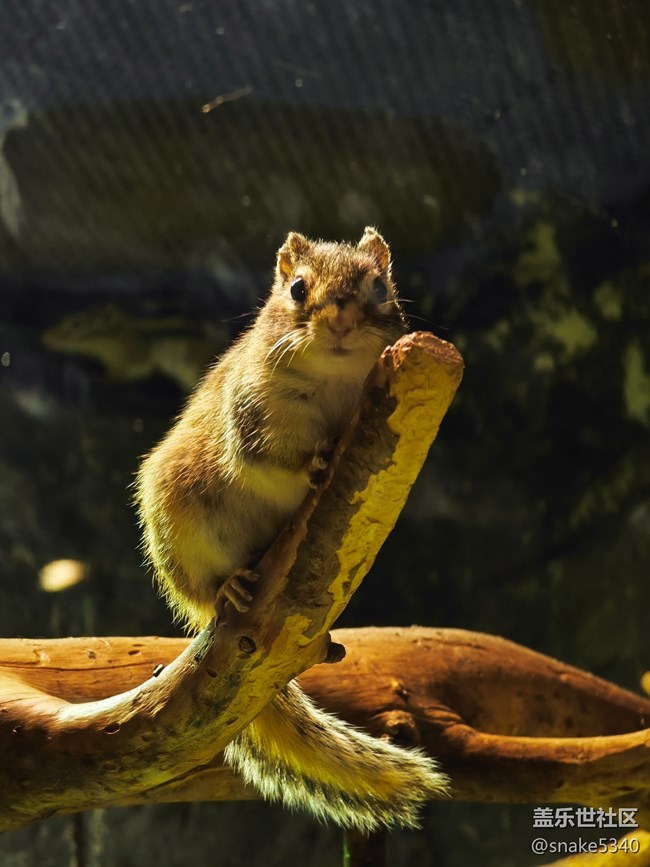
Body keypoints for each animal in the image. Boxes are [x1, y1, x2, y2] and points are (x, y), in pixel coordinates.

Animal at [134, 227, 448, 832]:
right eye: (298, 288)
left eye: (380, 287)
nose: (342, 320)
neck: (331, 383)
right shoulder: (250, 411)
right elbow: (268, 459)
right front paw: (313, 463)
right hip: (177, 525)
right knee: (204, 589)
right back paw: (228, 587)